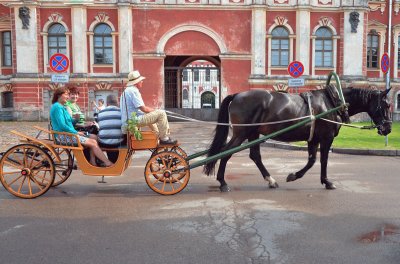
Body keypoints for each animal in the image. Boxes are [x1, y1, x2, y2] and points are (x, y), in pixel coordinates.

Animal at [205, 86, 392, 192]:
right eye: (386, 105)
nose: (388, 128)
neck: (332, 102)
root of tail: (237, 95)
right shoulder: (326, 138)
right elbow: (323, 160)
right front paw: (326, 182)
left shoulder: (313, 139)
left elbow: (312, 160)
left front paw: (294, 175)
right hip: (241, 133)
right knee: (225, 152)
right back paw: (222, 182)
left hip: (252, 134)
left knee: (255, 156)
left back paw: (270, 180)